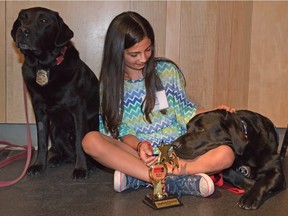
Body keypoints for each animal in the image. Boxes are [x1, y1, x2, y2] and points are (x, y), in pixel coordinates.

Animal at [10, 6, 99, 179]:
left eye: (44, 20)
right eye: (22, 18)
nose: (22, 30)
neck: (44, 66)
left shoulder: (78, 109)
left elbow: (80, 143)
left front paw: (81, 169)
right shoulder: (39, 109)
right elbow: (41, 141)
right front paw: (38, 165)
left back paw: (89, 166)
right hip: (55, 131)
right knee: (68, 154)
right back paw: (57, 159)